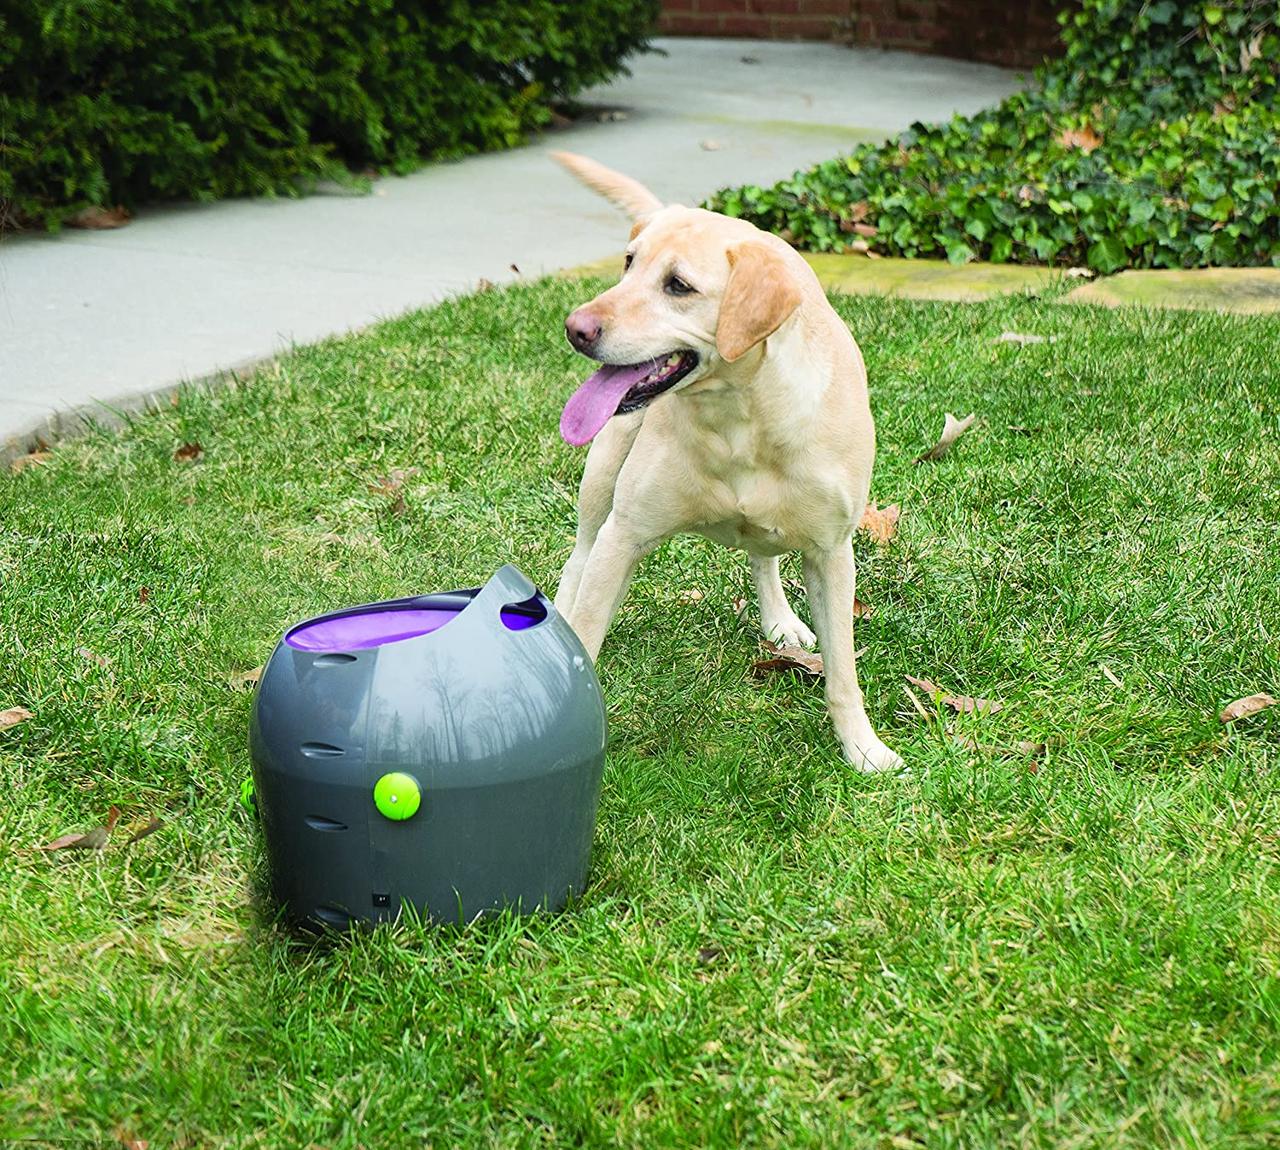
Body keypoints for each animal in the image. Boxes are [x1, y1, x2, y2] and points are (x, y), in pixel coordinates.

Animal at [550, 147, 901, 768]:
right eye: (628, 264)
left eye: (679, 285)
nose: (576, 328)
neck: (741, 416)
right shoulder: (624, 536)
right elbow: (590, 630)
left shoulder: (833, 552)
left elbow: (842, 674)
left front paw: (863, 749)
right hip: (601, 493)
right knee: (578, 562)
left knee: (764, 556)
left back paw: (780, 621)